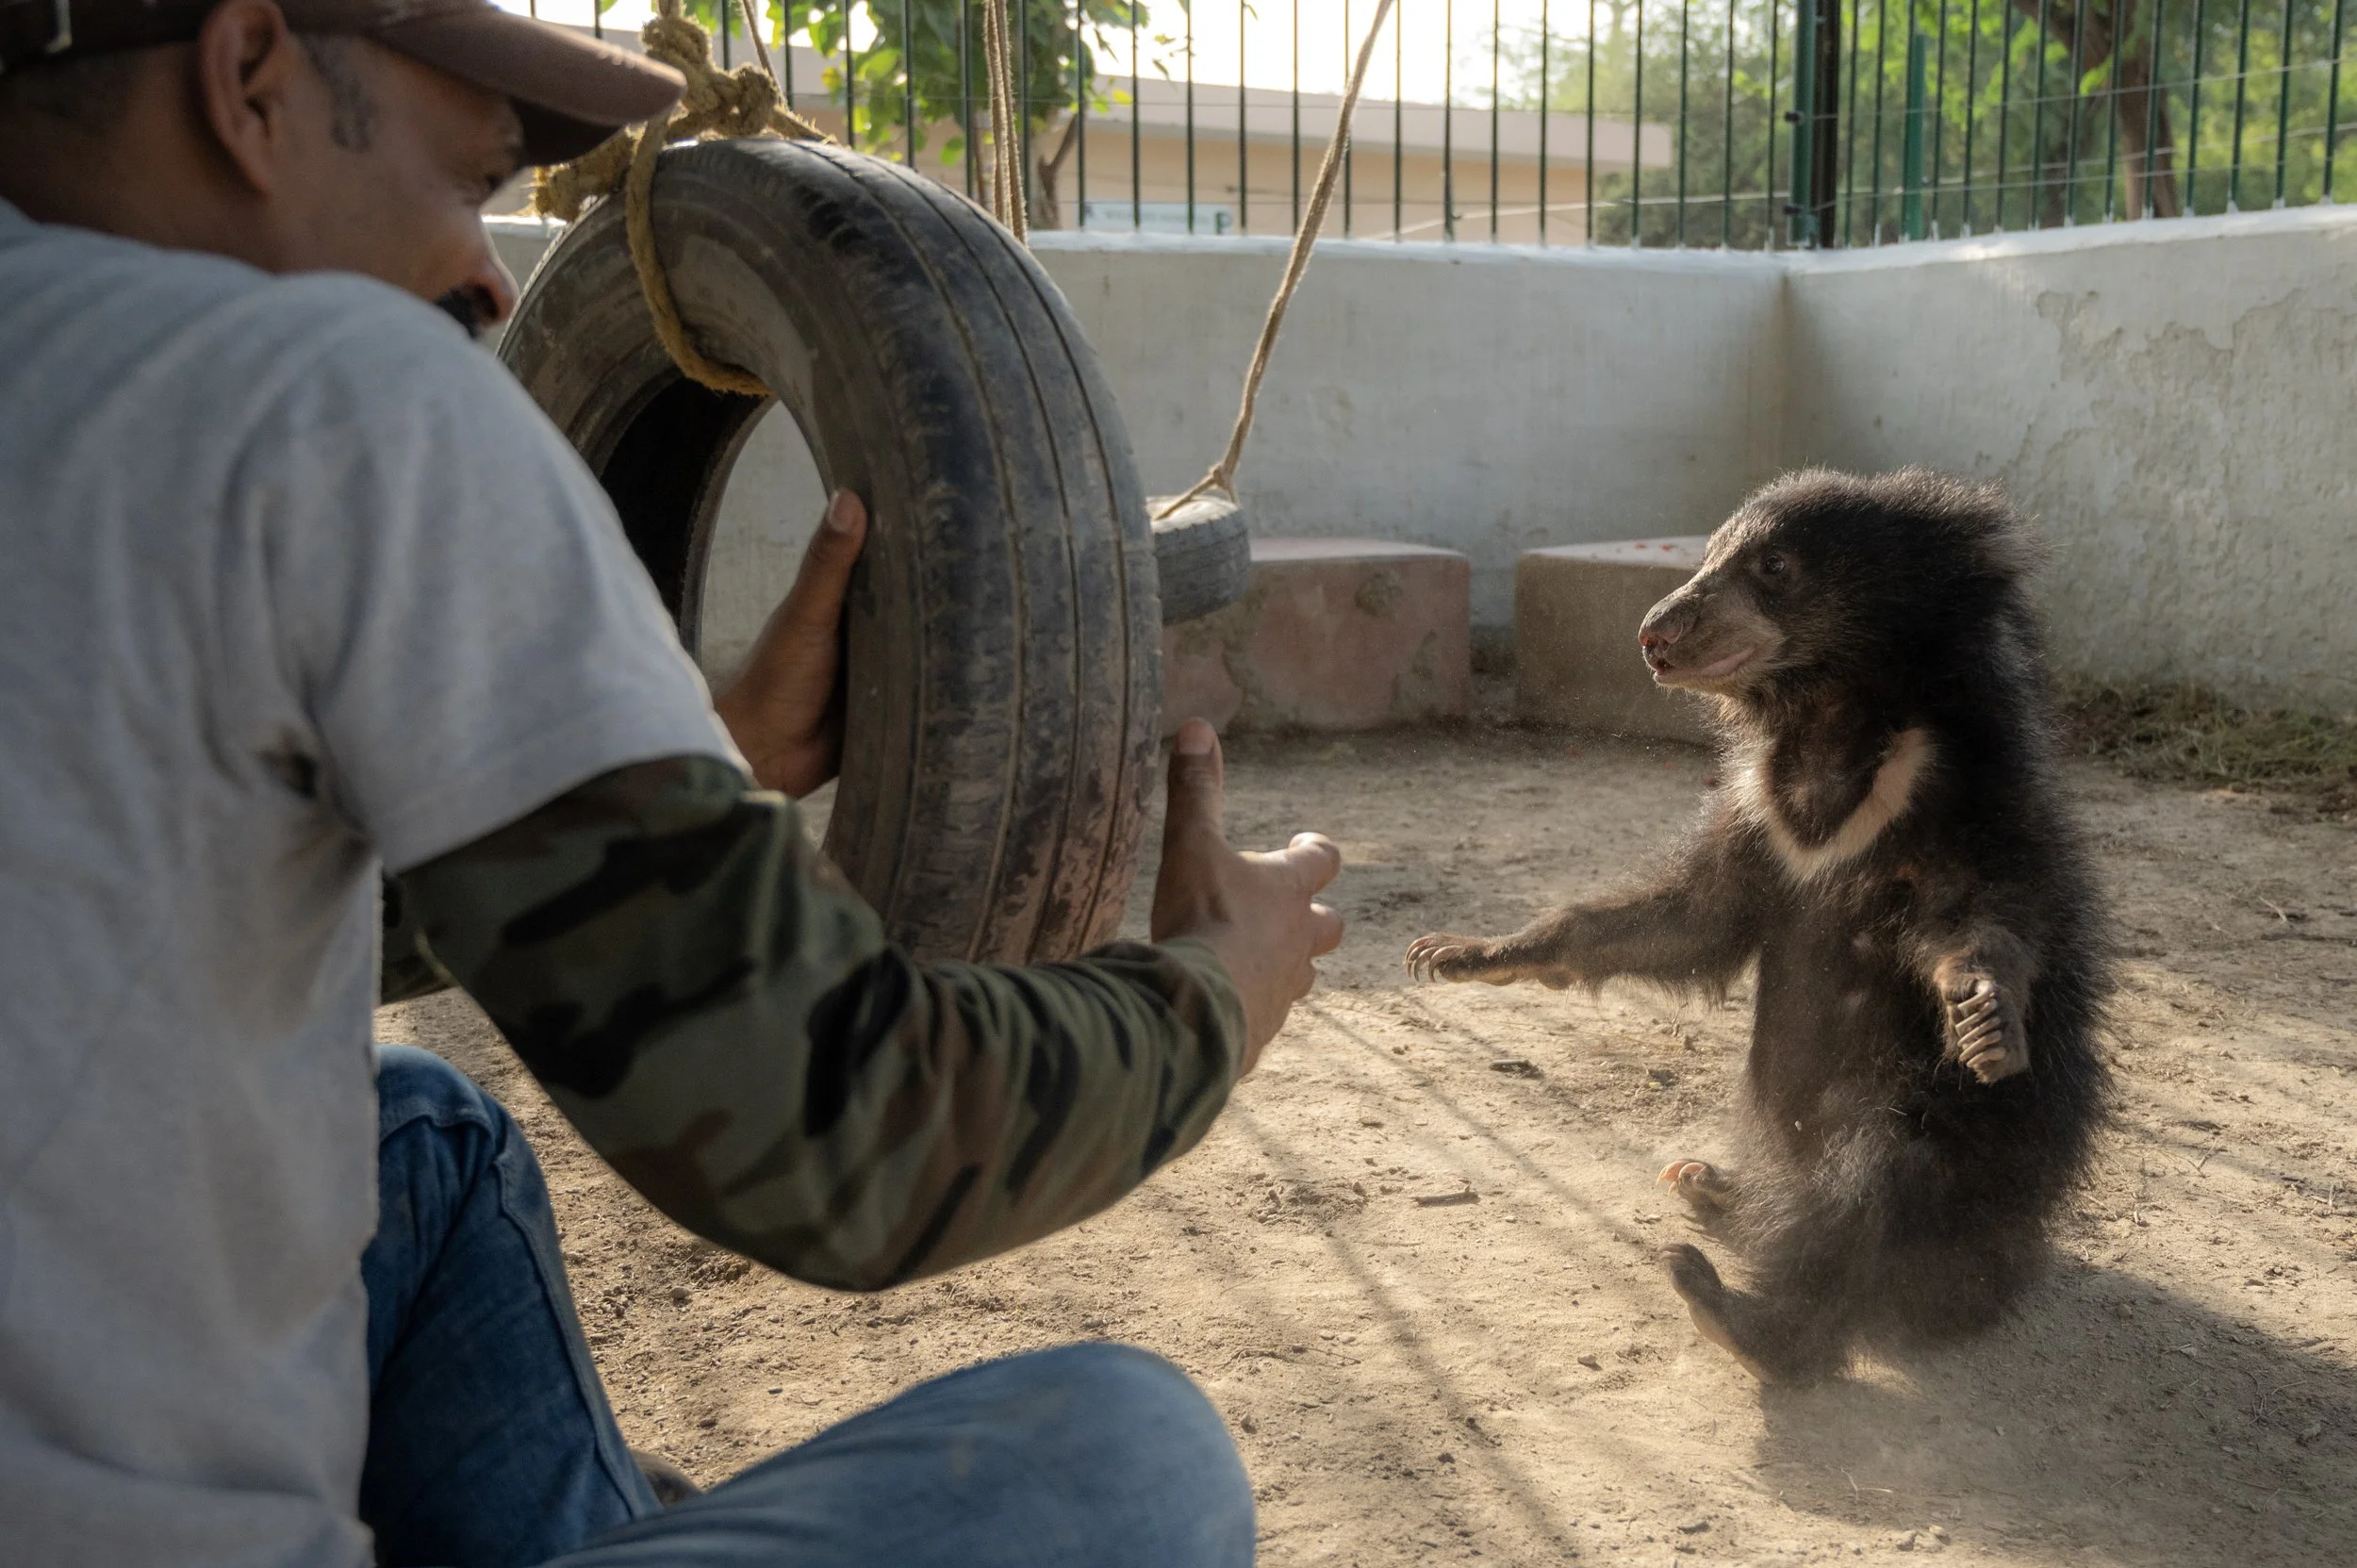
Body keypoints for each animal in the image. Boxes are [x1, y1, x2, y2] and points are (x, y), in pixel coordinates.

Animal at [1407, 468, 2114, 1384]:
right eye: (1708, 554)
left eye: (1774, 565)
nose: (1654, 635)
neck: (1833, 720)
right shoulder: (1758, 816)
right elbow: (1687, 918)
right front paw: (1455, 952)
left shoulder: (1967, 793)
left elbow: (1979, 914)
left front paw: (1986, 1017)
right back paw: (1711, 1183)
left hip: (1952, 1154)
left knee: (1869, 1188)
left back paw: (1736, 1311)